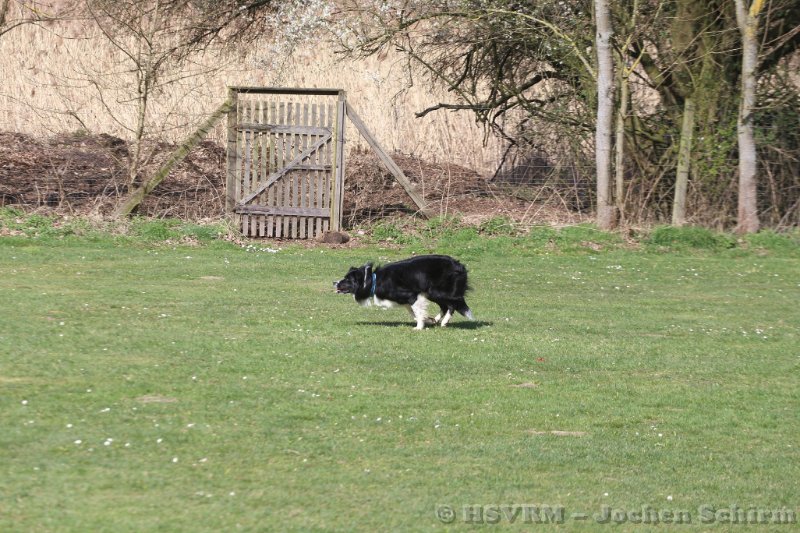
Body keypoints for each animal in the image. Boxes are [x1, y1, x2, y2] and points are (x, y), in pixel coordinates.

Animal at [334, 254, 474, 329]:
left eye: (347, 280)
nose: (334, 282)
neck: (374, 280)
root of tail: (460, 266)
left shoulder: (411, 296)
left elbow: (416, 312)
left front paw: (419, 327)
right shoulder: (406, 300)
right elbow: (413, 313)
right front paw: (427, 320)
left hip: (439, 292)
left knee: (451, 305)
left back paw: (444, 322)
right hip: (432, 293)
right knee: (444, 306)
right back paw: (436, 320)